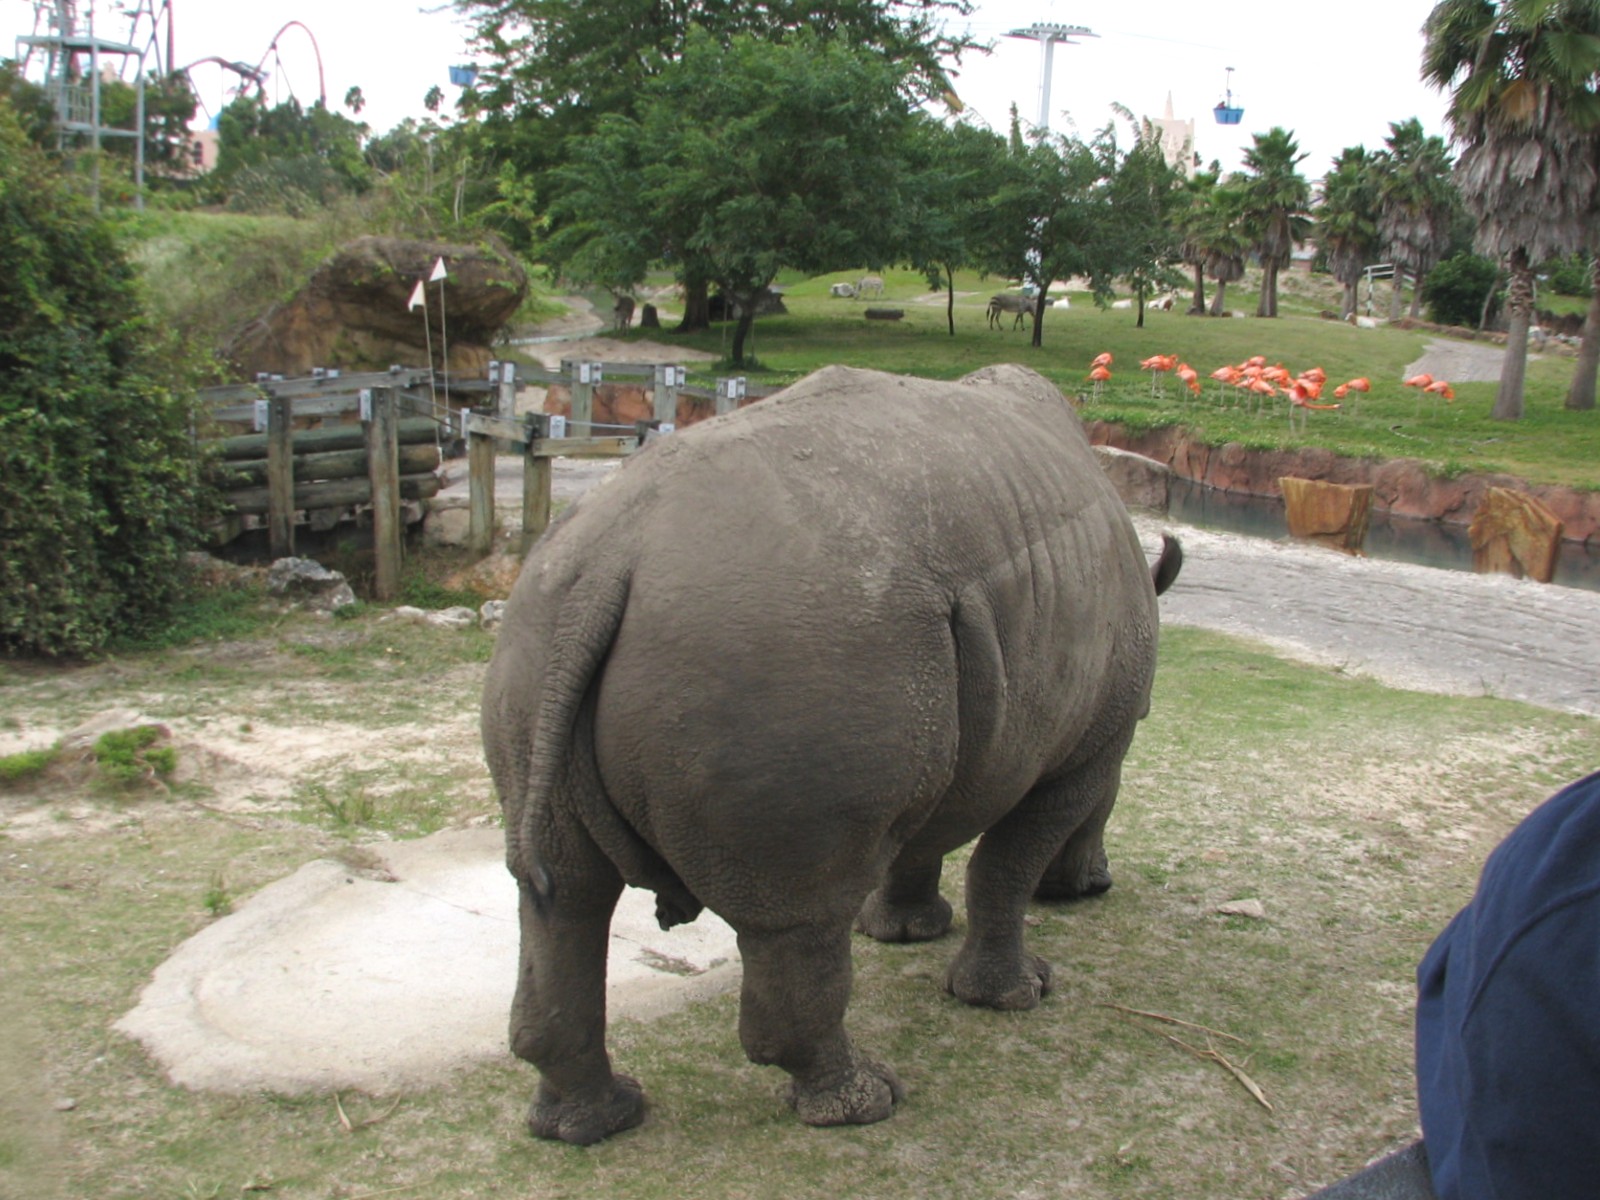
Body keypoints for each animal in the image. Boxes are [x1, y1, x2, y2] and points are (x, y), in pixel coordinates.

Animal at [481, 363, 1181, 1144]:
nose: (1099, 888)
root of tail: (608, 563)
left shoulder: (949, 716)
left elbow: (925, 836)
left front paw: (903, 934)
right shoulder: (1085, 749)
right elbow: (1008, 864)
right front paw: (1018, 994)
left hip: (541, 633)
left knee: (561, 895)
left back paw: (593, 1123)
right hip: (786, 645)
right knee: (796, 918)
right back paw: (865, 1103)